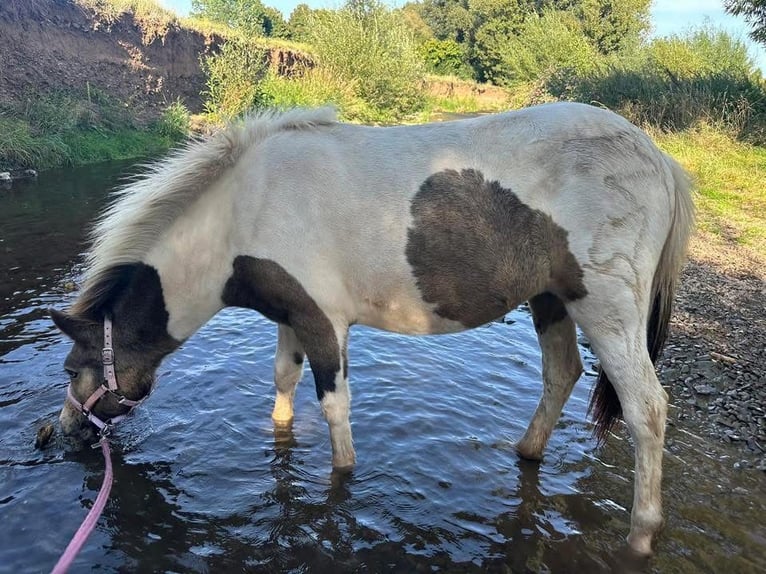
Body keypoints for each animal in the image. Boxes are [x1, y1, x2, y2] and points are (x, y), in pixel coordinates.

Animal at [51, 102, 694, 556]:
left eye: (71, 368)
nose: (60, 434)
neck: (245, 213)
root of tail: (660, 160)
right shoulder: (293, 319)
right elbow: (283, 382)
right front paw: (279, 439)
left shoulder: (324, 322)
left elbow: (335, 408)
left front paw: (341, 482)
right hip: (552, 300)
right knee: (562, 374)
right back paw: (525, 453)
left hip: (607, 309)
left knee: (646, 408)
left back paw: (643, 532)